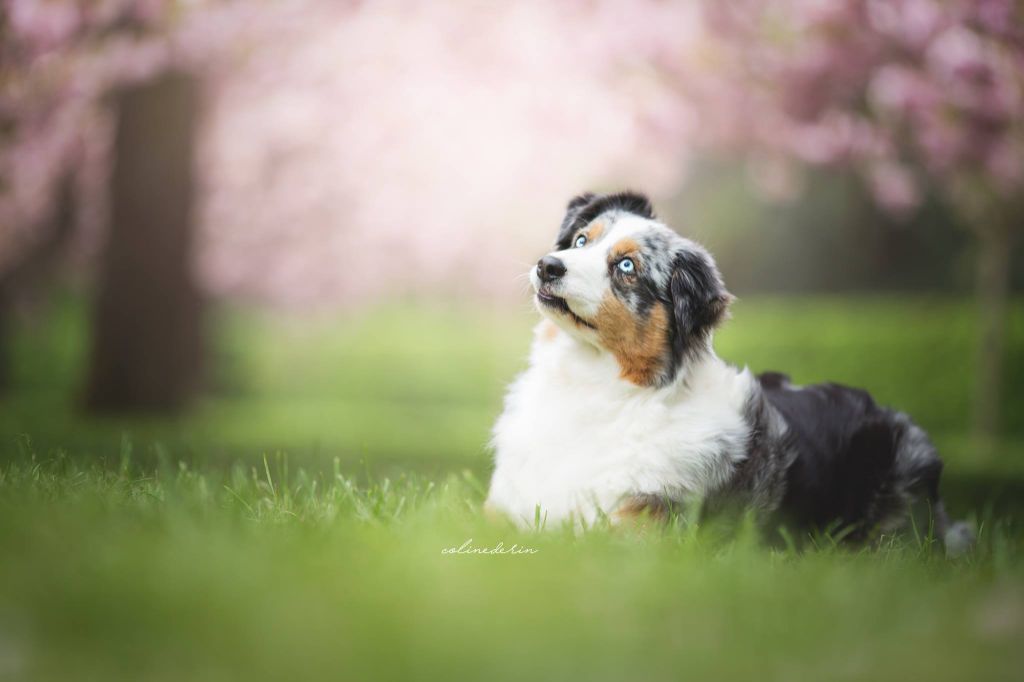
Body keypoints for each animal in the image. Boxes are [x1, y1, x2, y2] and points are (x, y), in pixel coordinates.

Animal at [483, 188, 970, 548]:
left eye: (625, 266)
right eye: (582, 239)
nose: (548, 265)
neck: (591, 385)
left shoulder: (637, 528)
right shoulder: (500, 510)